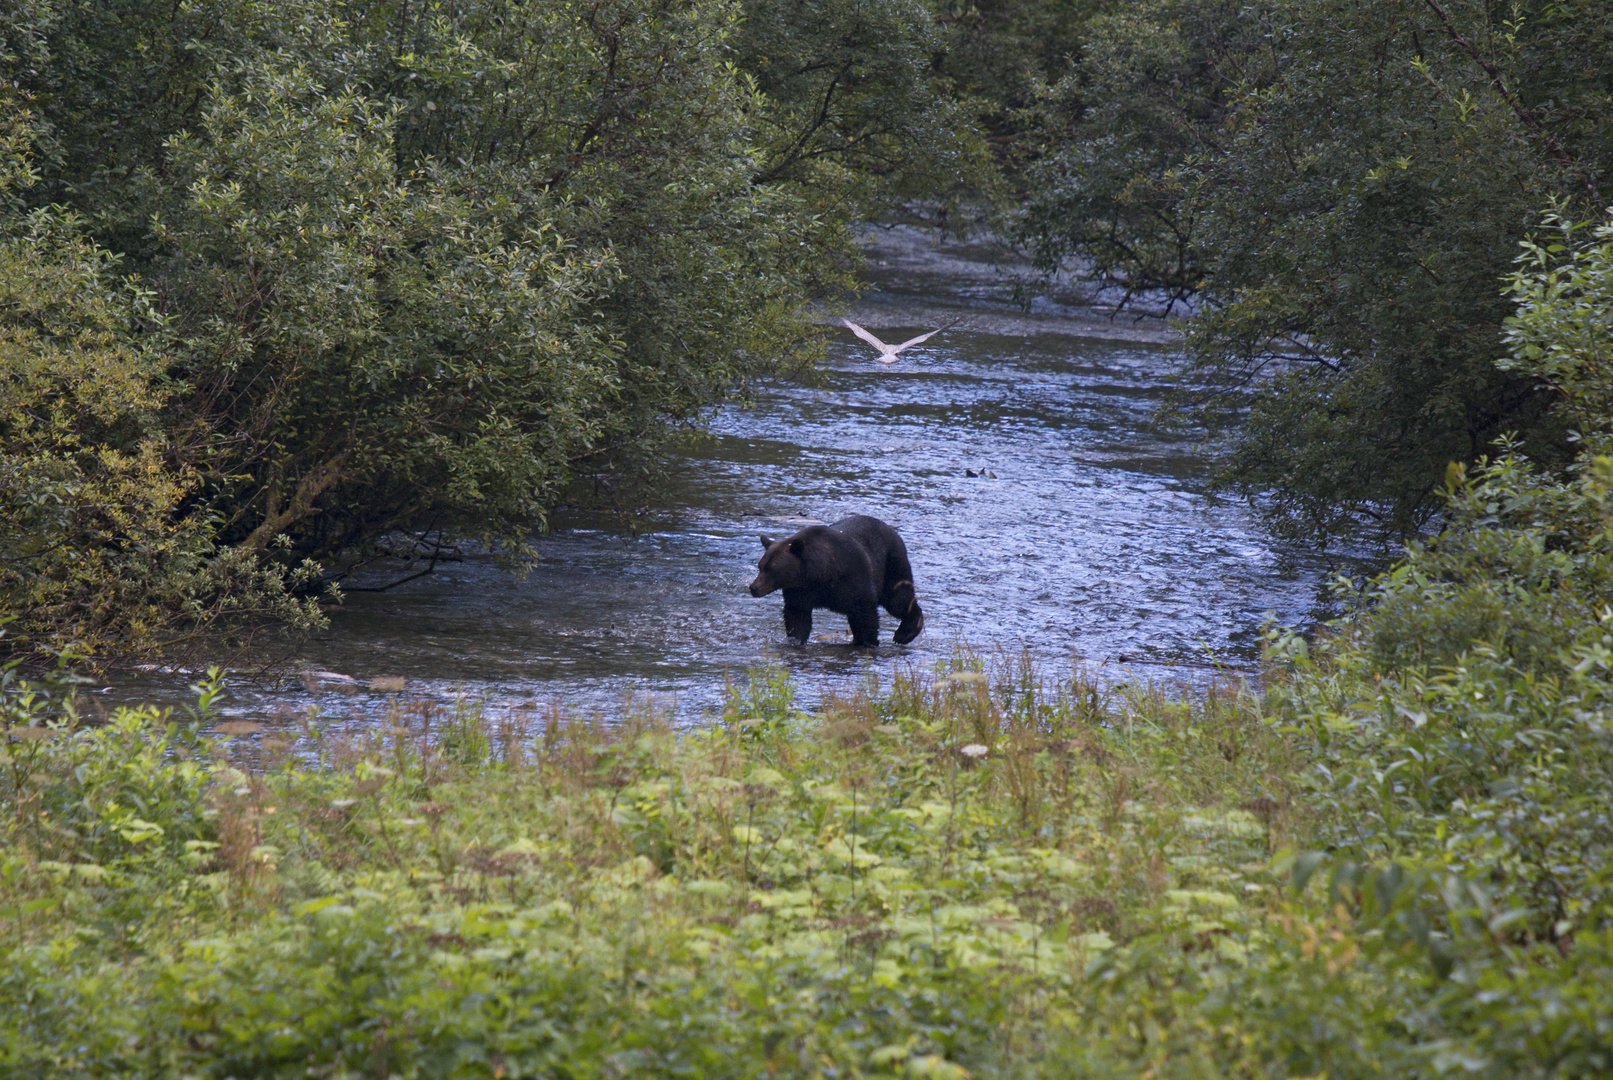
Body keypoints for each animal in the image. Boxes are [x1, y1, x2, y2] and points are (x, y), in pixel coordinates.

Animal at [741, 512, 922, 648]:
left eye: (772, 569)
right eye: (760, 566)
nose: (753, 587)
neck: (819, 575)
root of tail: (892, 530)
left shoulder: (853, 578)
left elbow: (865, 612)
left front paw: (868, 641)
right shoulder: (799, 591)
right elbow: (797, 616)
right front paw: (795, 640)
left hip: (891, 565)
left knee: (898, 599)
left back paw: (905, 632)